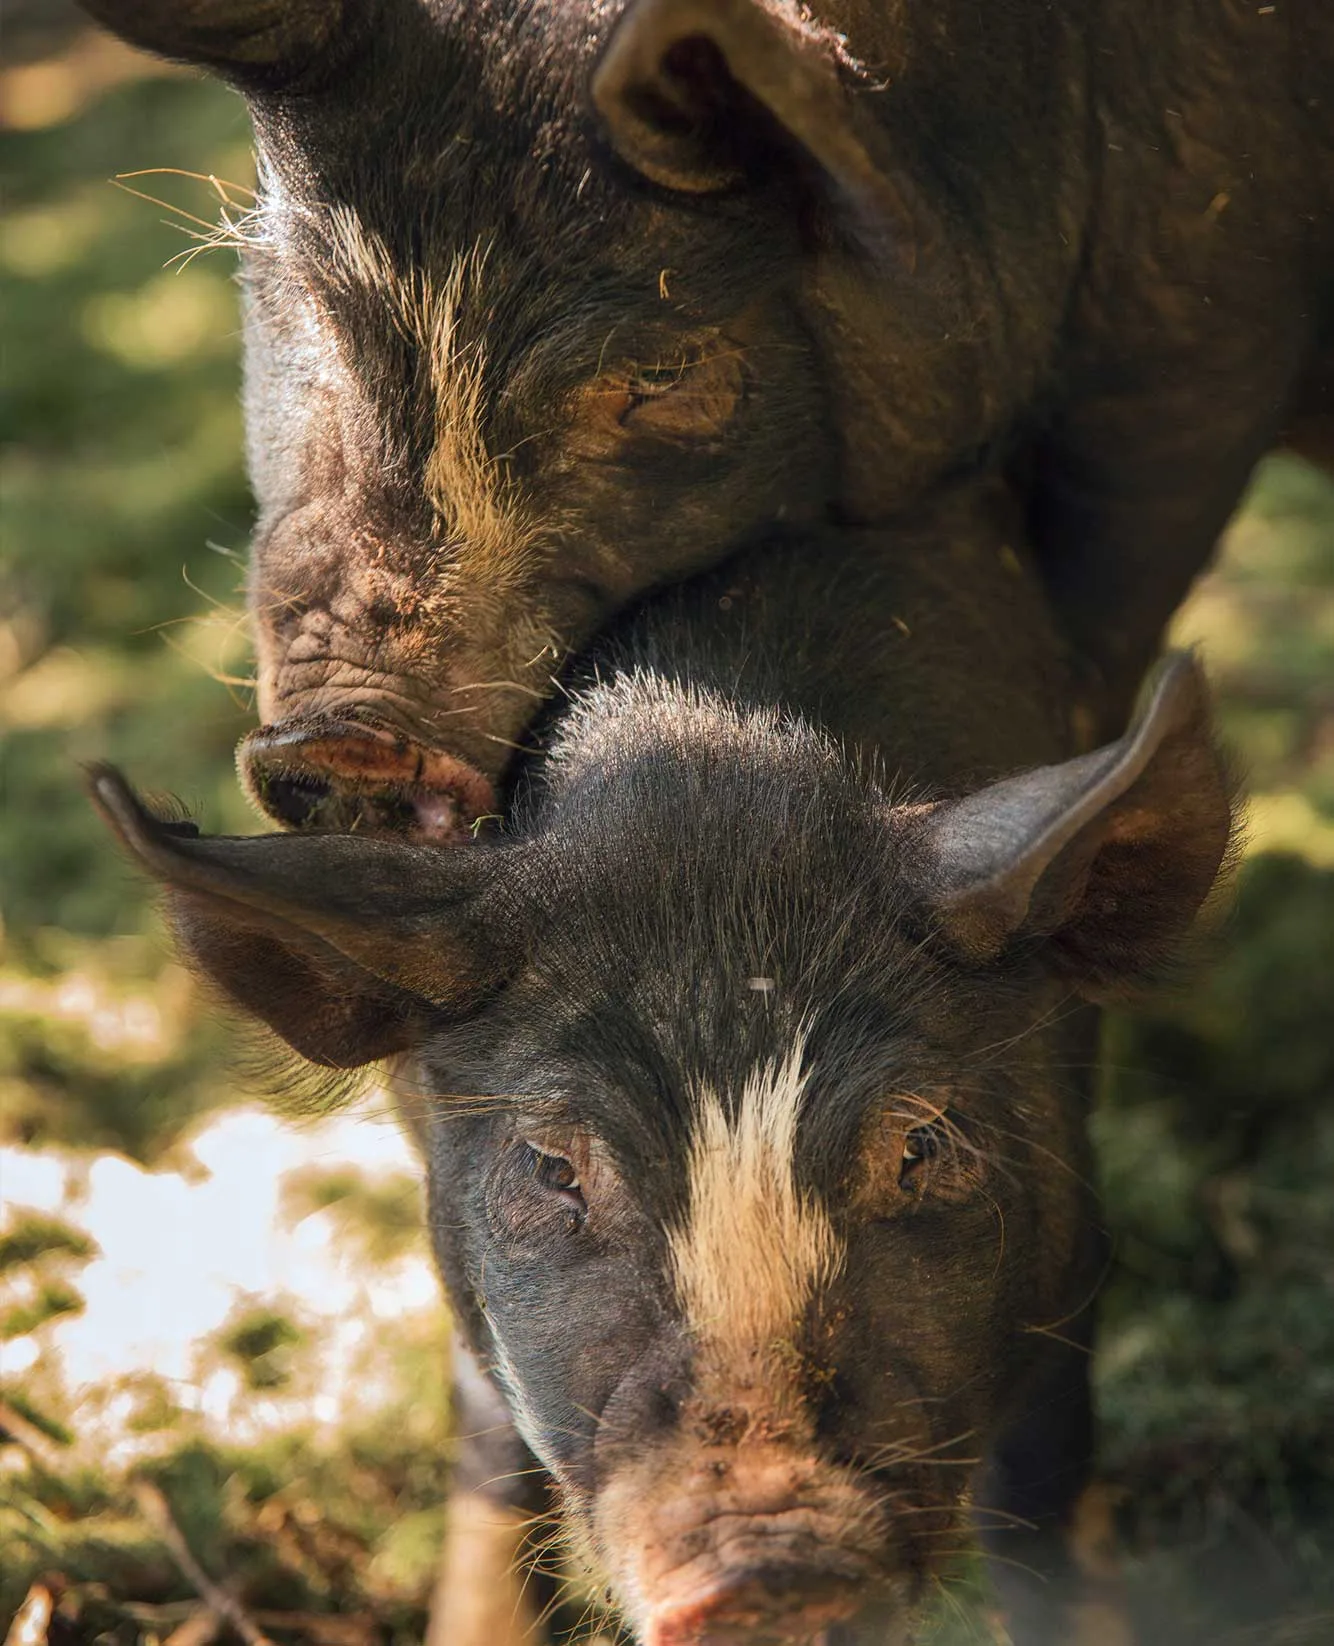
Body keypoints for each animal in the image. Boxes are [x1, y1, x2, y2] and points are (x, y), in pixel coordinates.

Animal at [91, 482, 1235, 1644]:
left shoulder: (1071, 1221)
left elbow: (1042, 1480)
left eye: (918, 1143)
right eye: (550, 1166)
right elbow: (487, 1428)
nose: (769, 1564)